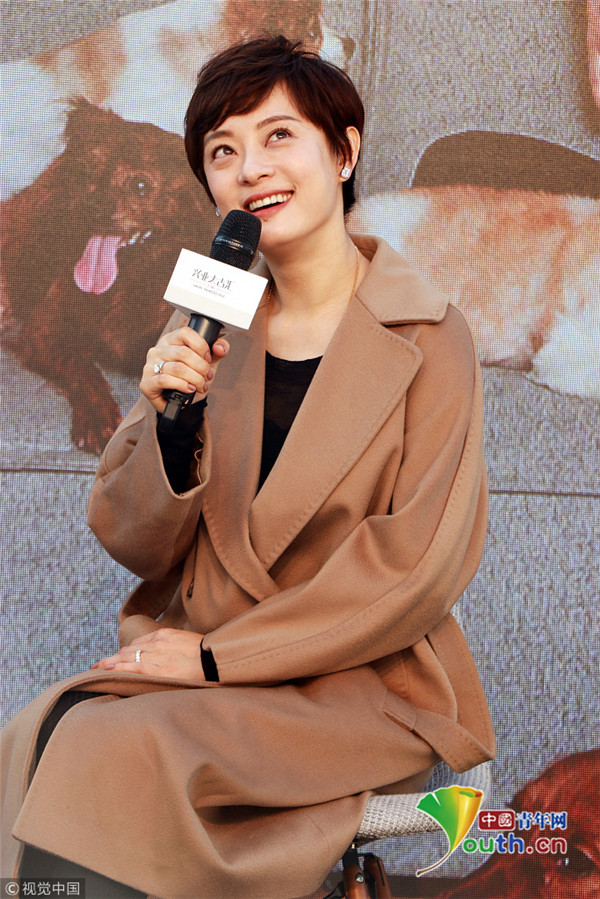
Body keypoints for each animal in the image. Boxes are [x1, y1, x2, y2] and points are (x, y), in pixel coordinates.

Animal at [1, 98, 215, 453]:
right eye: (86, 172)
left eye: (141, 185)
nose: (92, 206)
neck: (126, 280)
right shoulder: (44, 332)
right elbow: (83, 369)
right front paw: (98, 417)